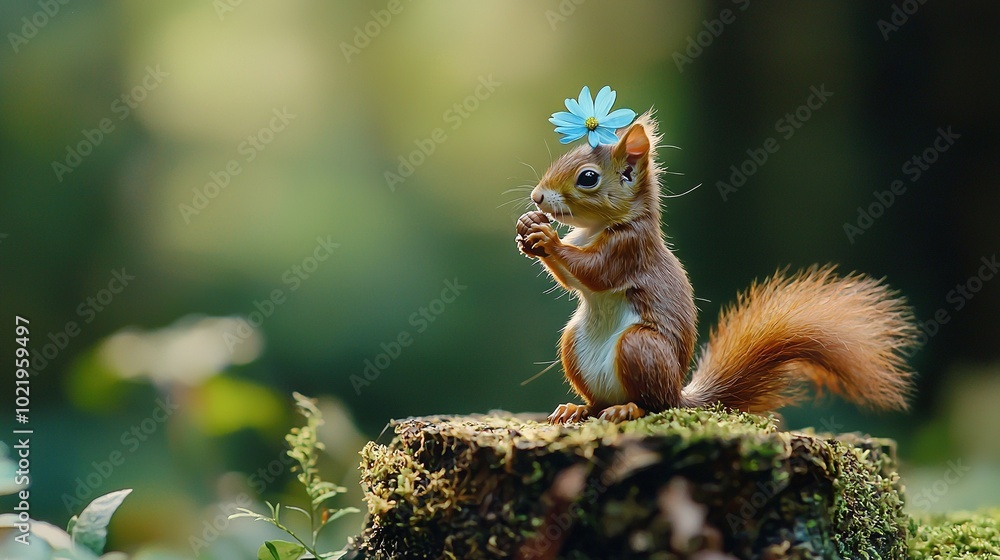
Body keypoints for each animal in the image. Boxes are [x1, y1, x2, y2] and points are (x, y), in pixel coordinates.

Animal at [520, 110, 916, 424]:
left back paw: (627, 410)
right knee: (600, 401)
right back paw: (577, 409)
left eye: (587, 177)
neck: (598, 228)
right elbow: (572, 280)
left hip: (641, 348)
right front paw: (528, 229)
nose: (537, 197)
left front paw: (547, 239)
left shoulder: (629, 250)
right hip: (574, 345)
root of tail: (679, 394)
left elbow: (593, 273)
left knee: (653, 405)